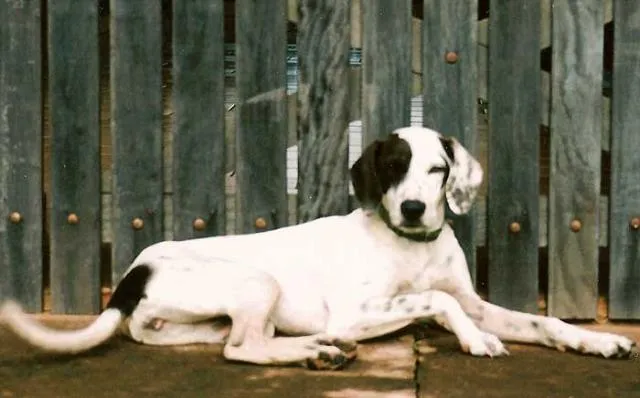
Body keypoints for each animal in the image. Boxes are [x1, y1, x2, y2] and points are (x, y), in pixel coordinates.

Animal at [1, 126, 636, 370]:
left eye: (437, 169)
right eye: (392, 166)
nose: (413, 209)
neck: (413, 247)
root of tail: (133, 272)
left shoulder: (475, 300)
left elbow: (541, 320)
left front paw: (597, 341)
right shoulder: (359, 312)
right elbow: (438, 303)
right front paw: (474, 340)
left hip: (193, 320)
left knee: (234, 340)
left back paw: (318, 348)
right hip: (257, 281)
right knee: (241, 350)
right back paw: (319, 350)